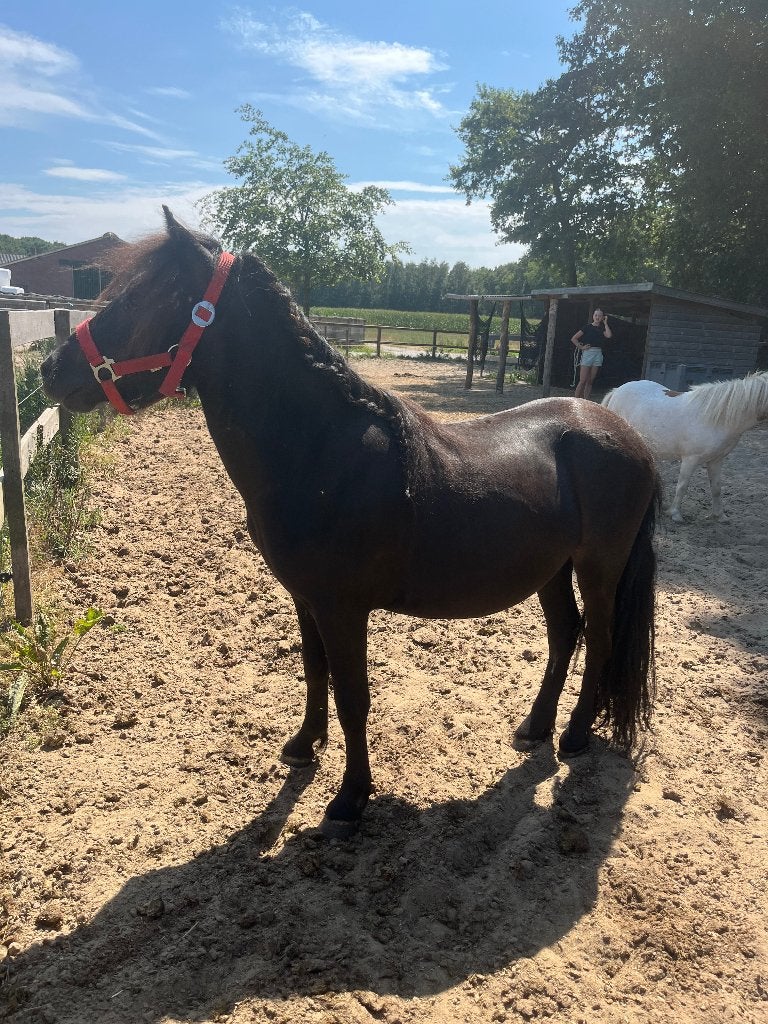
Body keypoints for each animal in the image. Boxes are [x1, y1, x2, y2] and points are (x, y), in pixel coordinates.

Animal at [41, 207, 661, 837]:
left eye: (143, 297)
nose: (50, 370)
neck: (319, 452)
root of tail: (628, 435)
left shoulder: (343, 607)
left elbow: (352, 697)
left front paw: (350, 798)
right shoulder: (305, 597)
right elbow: (315, 672)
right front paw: (303, 745)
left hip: (599, 566)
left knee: (600, 637)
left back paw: (576, 735)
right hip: (551, 569)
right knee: (565, 634)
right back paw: (534, 727)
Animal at [602, 374, 768, 523]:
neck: (718, 418)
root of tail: (617, 391)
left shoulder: (716, 460)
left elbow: (716, 488)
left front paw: (720, 516)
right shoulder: (690, 459)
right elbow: (682, 486)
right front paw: (675, 514)